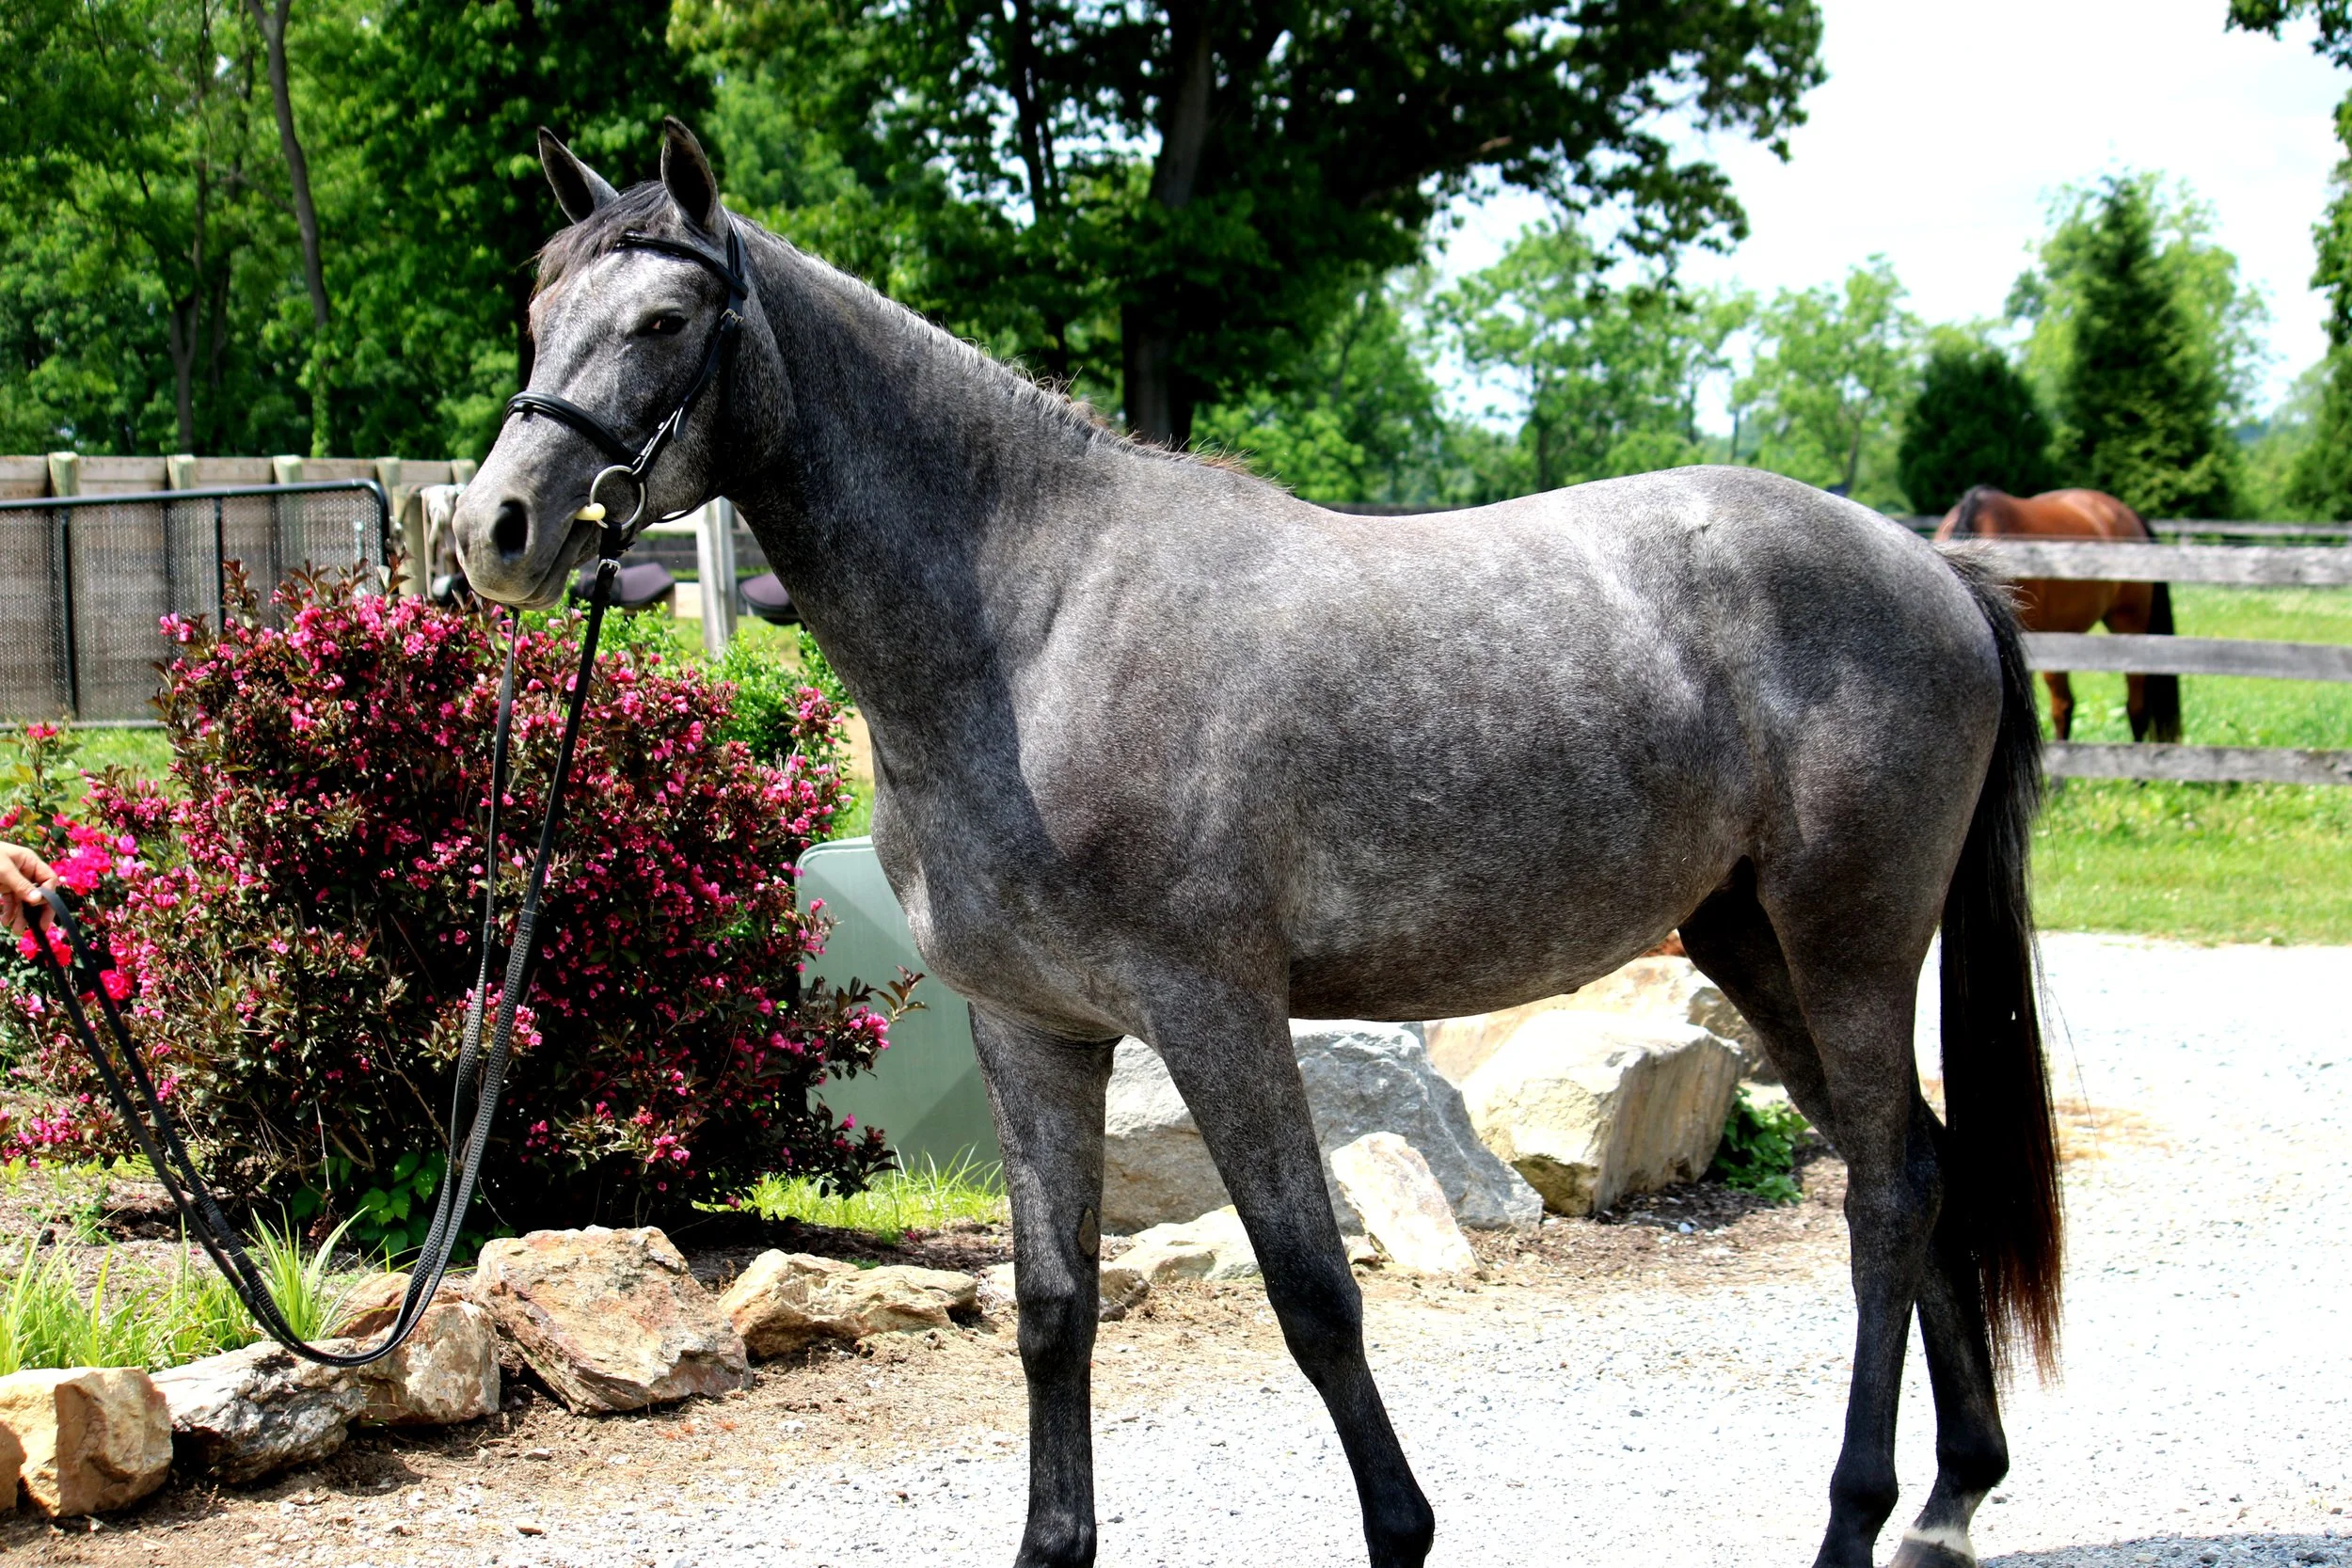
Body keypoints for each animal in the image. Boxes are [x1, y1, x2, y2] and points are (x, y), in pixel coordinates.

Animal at [453, 120, 2063, 1568]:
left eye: (665, 320)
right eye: (537, 313)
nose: (497, 529)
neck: (1032, 624)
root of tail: (1933, 570)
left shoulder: (1217, 1009)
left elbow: (1312, 1287)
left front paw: (1403, 1530)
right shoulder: (1032, 1029)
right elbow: (1053, 1306)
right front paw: (1053, 1542)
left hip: (1851, 941)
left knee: (1887, 1192)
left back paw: (1863, 1513)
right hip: (1749, 938)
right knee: (1916, 1165)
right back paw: (1950, 1497)